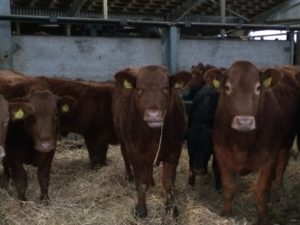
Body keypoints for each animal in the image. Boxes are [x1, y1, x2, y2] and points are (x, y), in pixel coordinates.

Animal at [0, 71, 76, 201]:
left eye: (56, 115)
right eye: (31, 116)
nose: (45, 145)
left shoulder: (50, 152)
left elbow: (43, 177)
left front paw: (45, 200)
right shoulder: (14, 156)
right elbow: (21, 180)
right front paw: (23, 201)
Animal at [112, 65, 192, 218]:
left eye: (166, 88)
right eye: (139, 89)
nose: (153, 114)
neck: (153, 136)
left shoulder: (174, 150)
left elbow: (168, 182)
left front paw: (171, 210)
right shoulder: (135, 151)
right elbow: (141, 182)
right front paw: (141, 210)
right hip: (121, 137)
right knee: (125, 157)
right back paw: (129, 176)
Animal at [202, 60, 286, 225]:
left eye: (258, 87)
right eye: (227, 87)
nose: (245, 122)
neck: (242, 142)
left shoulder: (270, 157)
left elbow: (261, 189)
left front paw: (263, 219)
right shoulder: (221, 154)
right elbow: (229, 187)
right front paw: (226, 213)